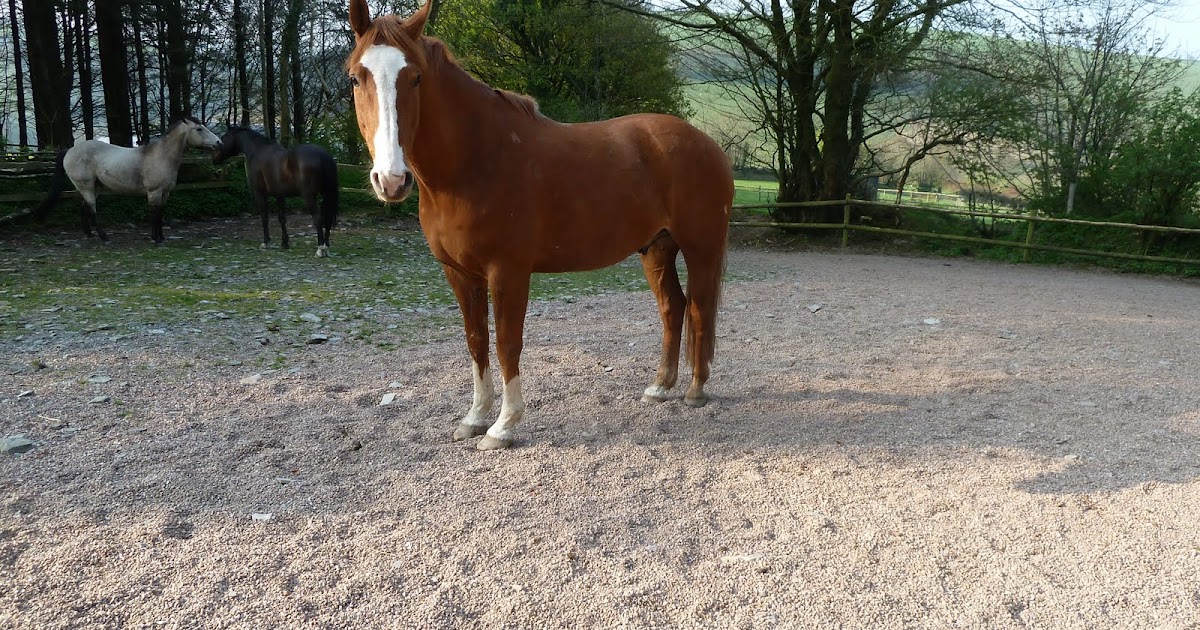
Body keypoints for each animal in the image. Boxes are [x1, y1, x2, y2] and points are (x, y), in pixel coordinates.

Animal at [36, 116, 221, 243]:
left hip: (93, 187)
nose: (219, 142)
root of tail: (69, 151)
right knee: (93, 210)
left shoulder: (165, 193)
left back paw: (89, 234)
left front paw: (161, 237)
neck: (161, 156)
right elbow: (154, 213)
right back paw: (104, 237)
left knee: (84, 208)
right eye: (199, 129)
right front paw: (155, 238)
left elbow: (161, 213)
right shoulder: (154, 192)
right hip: (87, 187)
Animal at [212, 126, 340, 257]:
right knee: (327, 219)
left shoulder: (260, 194)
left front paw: (265, 243)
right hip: (326, 194)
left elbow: (264, 217)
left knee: (318, 219)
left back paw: (320, 249)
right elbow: (282, 218)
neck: (257, 151)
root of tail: (323, 155)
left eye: (223, 137)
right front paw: (284, 243)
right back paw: (326, 247)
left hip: (309, 196)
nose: (214, 158)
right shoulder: (280, 194)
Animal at [346, 0, 733, 450]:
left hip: (700, 248)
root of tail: (707, 144)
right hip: (656, 248)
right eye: (356, 77)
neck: (477, 160)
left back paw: (695, 390)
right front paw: (474, 418)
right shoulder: (459, 273)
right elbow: (476, 342)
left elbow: (506, 343)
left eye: (416, 77)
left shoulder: (508, 272)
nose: (391, 180)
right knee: (673, 307)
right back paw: (660, 387)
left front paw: (503, 427)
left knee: (700, 309)